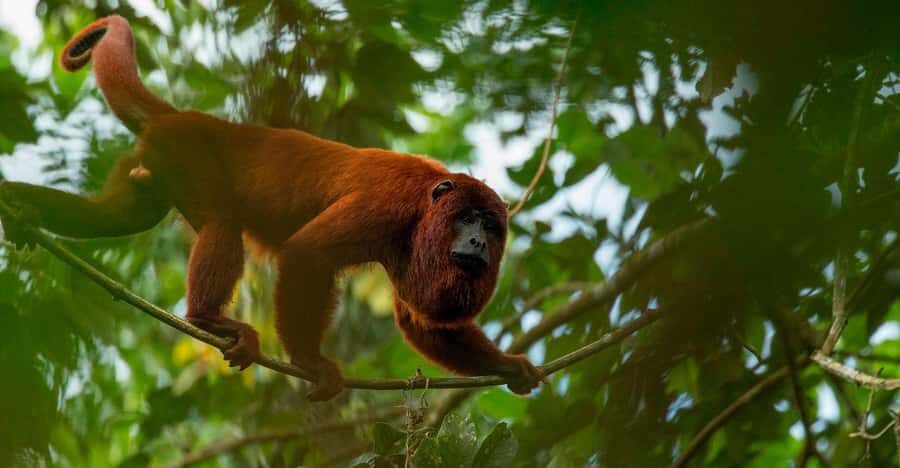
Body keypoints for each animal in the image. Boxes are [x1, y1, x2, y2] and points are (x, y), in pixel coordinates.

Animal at [0, 16, 543, 400]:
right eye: (467, 218)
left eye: (491, 227)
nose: (477, 242)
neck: (428, 201)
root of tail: (183, 117)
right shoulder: (387, 205)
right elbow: (307, 253)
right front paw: (311, 363)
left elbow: (419, 320)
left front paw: (508, 365)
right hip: (188, 153)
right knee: (221, 222)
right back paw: (208, 320)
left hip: (149, 166)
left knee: (116, 217)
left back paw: (21, 207)